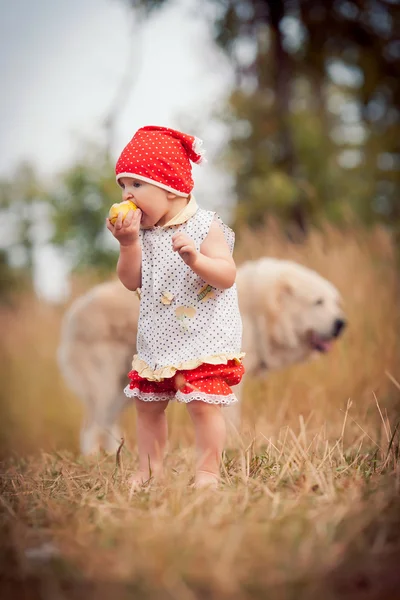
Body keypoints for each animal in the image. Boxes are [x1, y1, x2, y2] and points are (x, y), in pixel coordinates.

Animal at [57, 258, 346, 454]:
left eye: (335, 302)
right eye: (318, 302)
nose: (341, 323)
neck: (259, 312)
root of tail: (73, 314)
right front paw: (232, 446)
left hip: (123, 390)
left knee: (106, 424)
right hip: (104, 388)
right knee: (91, 427)